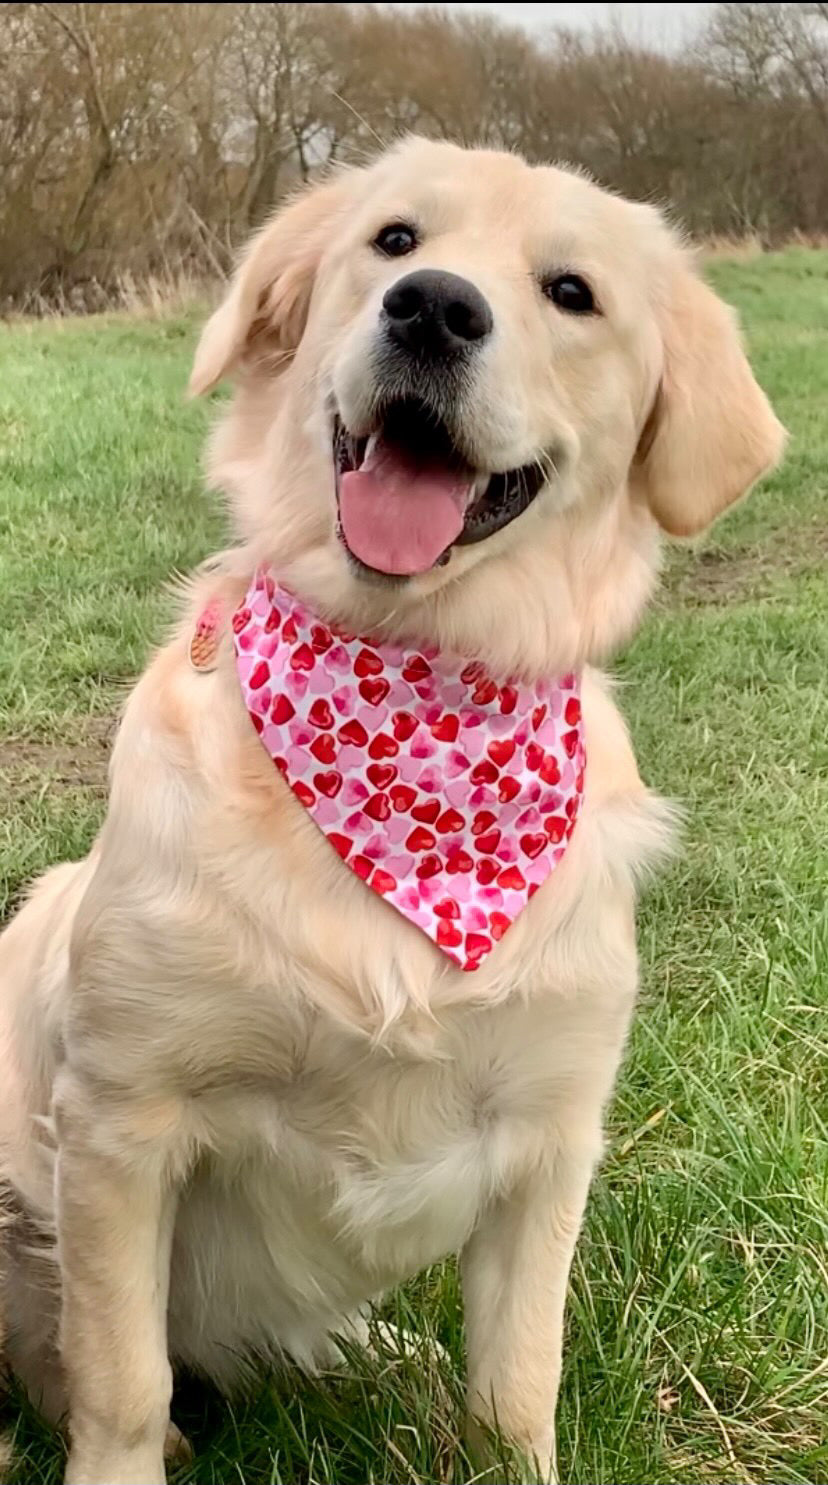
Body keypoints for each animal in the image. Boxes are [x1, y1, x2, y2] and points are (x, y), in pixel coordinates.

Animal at [0, 141, 783, 1485]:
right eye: (395, 240)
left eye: (570, 292)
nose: (432, 309)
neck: (412, 702)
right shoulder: (121, 1119)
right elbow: (123, 1377)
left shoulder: (549, 1135)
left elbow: (516, 1384)